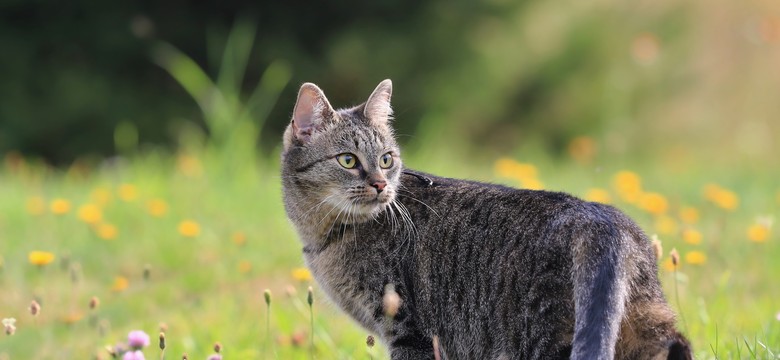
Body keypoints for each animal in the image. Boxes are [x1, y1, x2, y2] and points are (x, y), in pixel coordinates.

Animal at [278, 79, 688, 360]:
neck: (324, 234)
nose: (381, 184)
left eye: (386, 159)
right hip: (644, 323)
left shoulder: (409, 331)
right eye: (348, 160)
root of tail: (601, 216)